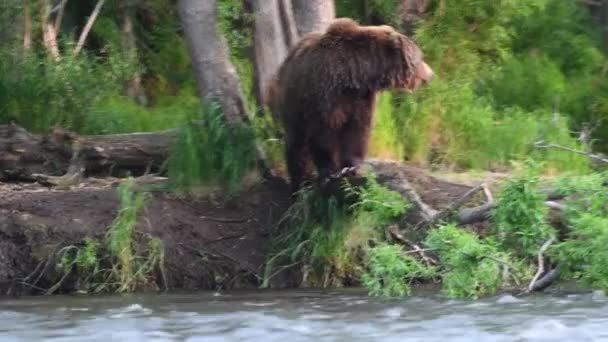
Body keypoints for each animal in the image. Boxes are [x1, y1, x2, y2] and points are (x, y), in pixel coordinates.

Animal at [266, 18, 432, 195]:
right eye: (420, 58)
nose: (430, 75)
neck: (352, 75)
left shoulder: (361, 98)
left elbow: (357, 130)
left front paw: (351, 168)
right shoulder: (323, 92)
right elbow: (323, 131)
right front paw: (328, 171)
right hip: (292, 103)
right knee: (296, 144)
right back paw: (298, 182)